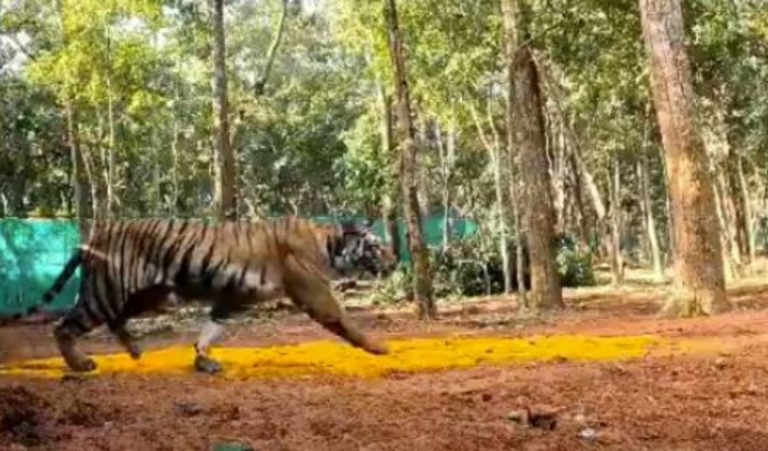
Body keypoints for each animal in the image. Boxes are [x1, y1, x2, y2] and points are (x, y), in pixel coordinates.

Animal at [12, 217, 396, 374]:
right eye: (376, 246)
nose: (395, 260)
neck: (330, 244)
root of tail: (94, 236)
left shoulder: (232, 299)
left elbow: (210, 331)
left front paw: (203, 360)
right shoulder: (315, 292)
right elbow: (345, 319)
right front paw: (379, 347)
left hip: (149, 295)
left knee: (115, 320)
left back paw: (134, 350)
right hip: (108, 292)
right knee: (65, 326)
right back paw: (80, 364)